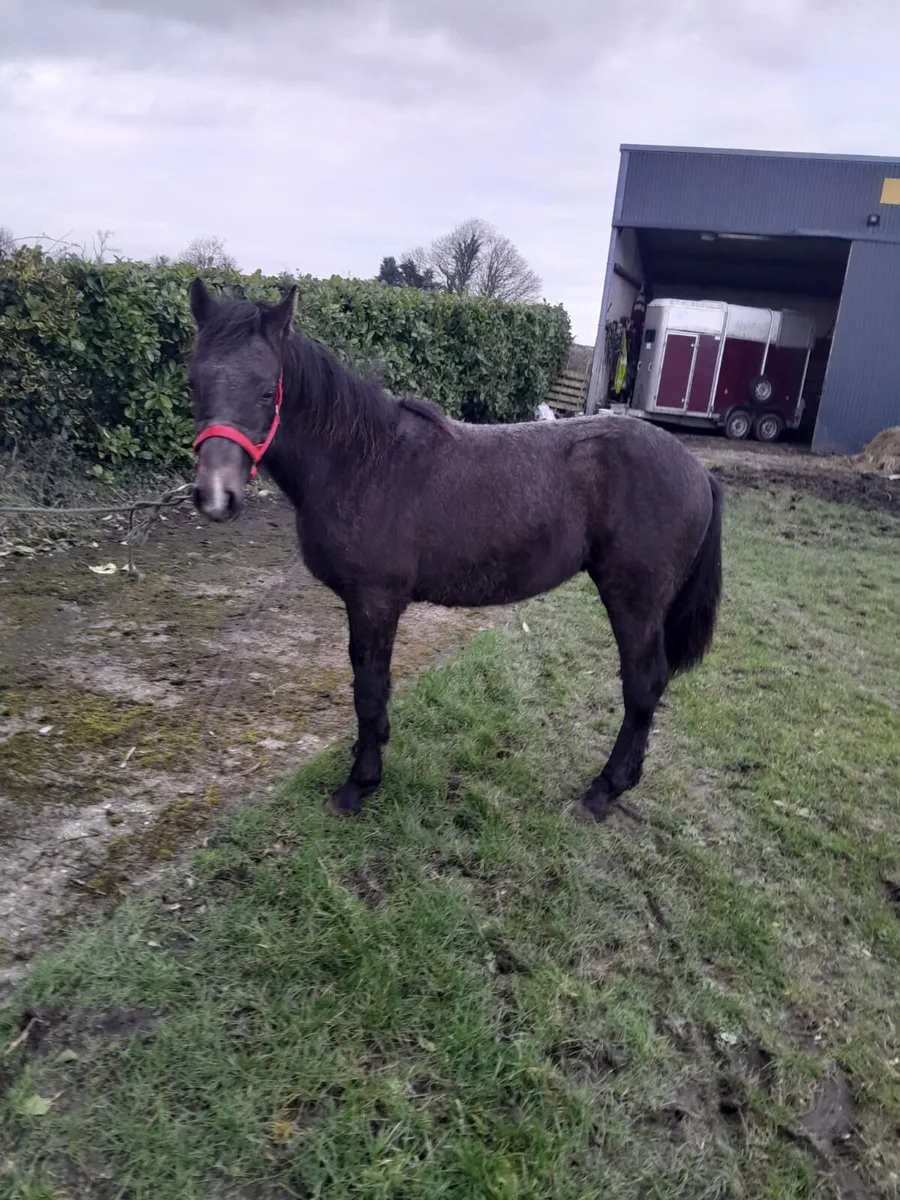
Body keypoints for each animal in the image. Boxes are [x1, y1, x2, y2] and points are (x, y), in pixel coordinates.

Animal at [187, 278, 723, 821]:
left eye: (265, 391)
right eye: (193, 384)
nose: (215, 496)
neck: (361, 461)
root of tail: (699, 472)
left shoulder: (374, 601)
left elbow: (368, 687)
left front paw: (360, 782)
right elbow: (367, 683)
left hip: (633, 600)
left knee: (643, 684)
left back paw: (605, 788)